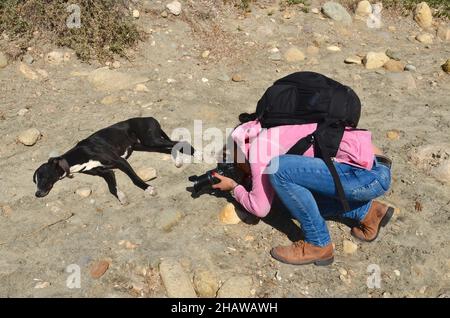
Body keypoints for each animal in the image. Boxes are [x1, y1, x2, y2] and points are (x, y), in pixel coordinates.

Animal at [31, 117, 193, 204]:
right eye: (35, 181)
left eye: (43, 177)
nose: (37, 194)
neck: (76, 157)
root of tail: (149, 118)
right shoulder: (106, 172)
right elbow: (111, 188)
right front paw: (121, 197)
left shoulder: (120, 161)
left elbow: (135, 179)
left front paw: (148, 188)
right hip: (146, 145)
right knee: (170, 148)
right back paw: (178, 161)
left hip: (151, 140)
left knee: (179, 142)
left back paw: (194, 153)